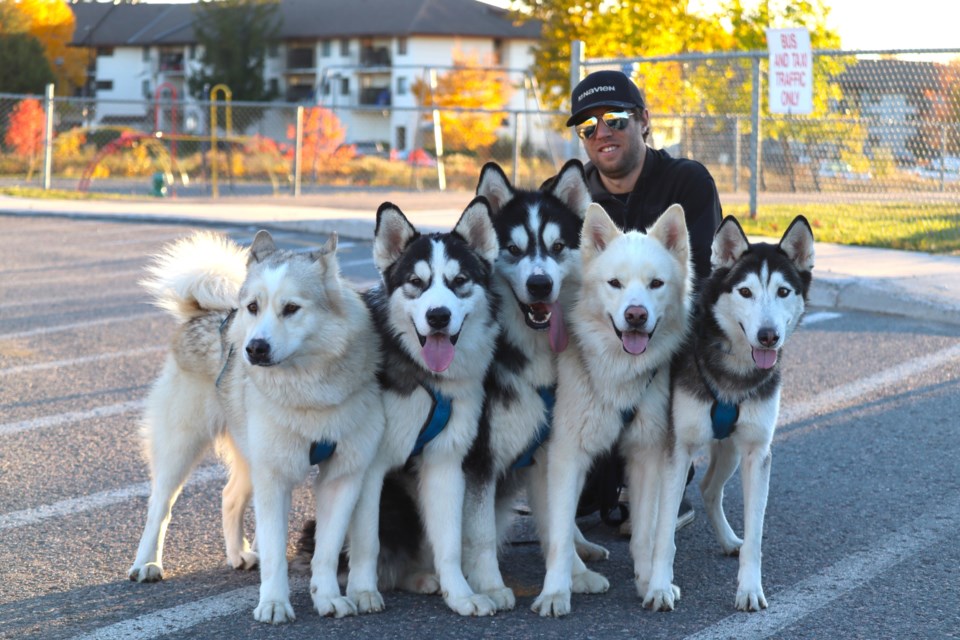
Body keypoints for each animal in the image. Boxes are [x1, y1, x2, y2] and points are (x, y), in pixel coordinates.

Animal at [128, 231, 386, 624]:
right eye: (253, 307)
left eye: (291, 308)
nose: (255, 349)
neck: (309, 391)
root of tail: (204, 313)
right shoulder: (274, 477)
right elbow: (277, 552)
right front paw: (274, 604)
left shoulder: (344, 476)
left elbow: (326, 551)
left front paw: (328, 597)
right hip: (181, 448)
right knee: (160, 505)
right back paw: (147, 563)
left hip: (250, 457)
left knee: (229, 497)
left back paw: (239, 554)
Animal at [344, 199, 506, 616]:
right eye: (416, 283)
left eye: (459, 280)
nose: (438, 316)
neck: (425, 377)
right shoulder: (370, 465)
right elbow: (366, 540)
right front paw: (362, 590)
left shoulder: (445, 463)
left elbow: (449, 543)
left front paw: (461, 594)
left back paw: (423, 578)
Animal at [460, 160, 600, 608]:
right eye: (513, 249)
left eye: (557, 247)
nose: (541, 285)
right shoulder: (478, 458)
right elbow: (481, 532)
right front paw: (488, 586)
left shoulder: (545, 451)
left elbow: (558, 522)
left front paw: (576, 574)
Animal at [528, 204, 692, 616]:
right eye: (615, 284)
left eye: (655, 284)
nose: (635, 315)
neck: (616, 373)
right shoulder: (566, 454)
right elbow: (557, 535)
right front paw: (555, 592)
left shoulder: (647, 456)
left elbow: (646, 533)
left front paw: (651, 583)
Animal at [640, 214, 812, 608]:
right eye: (745, 292)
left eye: (783, 292)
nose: (768, 336)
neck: (734, 372)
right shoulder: (677, 449)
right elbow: (663, 534)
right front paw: (659, 587)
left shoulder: (756, 453)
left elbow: (756, 536)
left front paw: (749, 588)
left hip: (731, 450)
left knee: (708, 488)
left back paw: (729, 539)